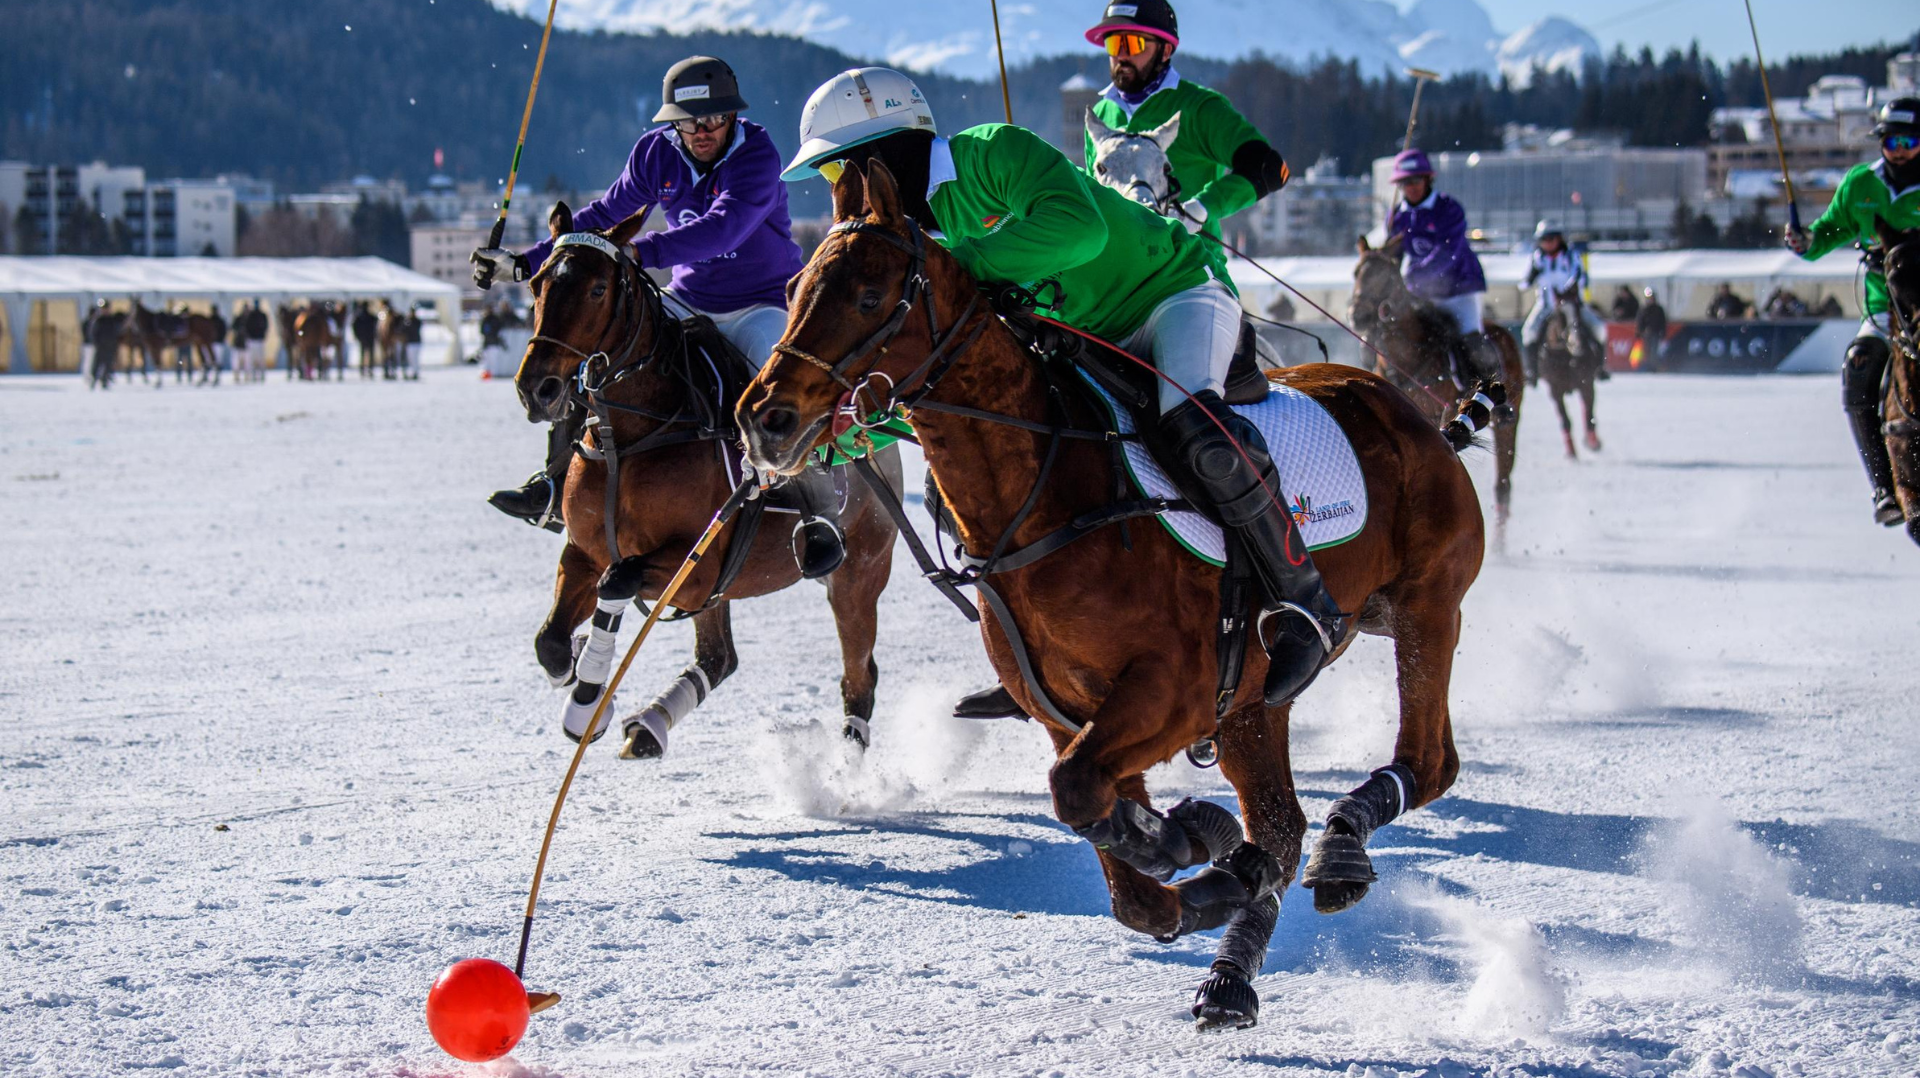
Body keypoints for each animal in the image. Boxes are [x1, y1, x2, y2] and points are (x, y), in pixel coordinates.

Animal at [510, 201, 898, 757]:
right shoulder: (585, 550)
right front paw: (591, 686)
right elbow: (552, 643)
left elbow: (617, 580)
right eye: (538, 282)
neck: (633, 435)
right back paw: (648, 727)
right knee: (719, 656)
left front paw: (586, 701)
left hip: (859, 573)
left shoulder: (696, 568)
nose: (535, 388)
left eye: (598, 289)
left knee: (859, 674)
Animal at [733, 164, 1482, 1029]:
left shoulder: (1174, 691)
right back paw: (1232, 964)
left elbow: (1080, 795)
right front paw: (1200, 853)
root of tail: (1401, 402)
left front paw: (1190, 840)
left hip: (1427, 607)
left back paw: (1341, 846)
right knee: (1280, 824)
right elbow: (1124, 875)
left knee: (1426, 762)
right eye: (794, 288)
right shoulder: (1070, 712)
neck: (1049, 494)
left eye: (867, 293)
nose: (763, 418)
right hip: (1257, 700)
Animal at [1351, 232, 1512, 526]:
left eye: (1386, 276)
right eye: (1356, 272)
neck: (1407, 356)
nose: (1358, 316)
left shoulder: (1436, 410)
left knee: (1503, 484)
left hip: (1507, 422)